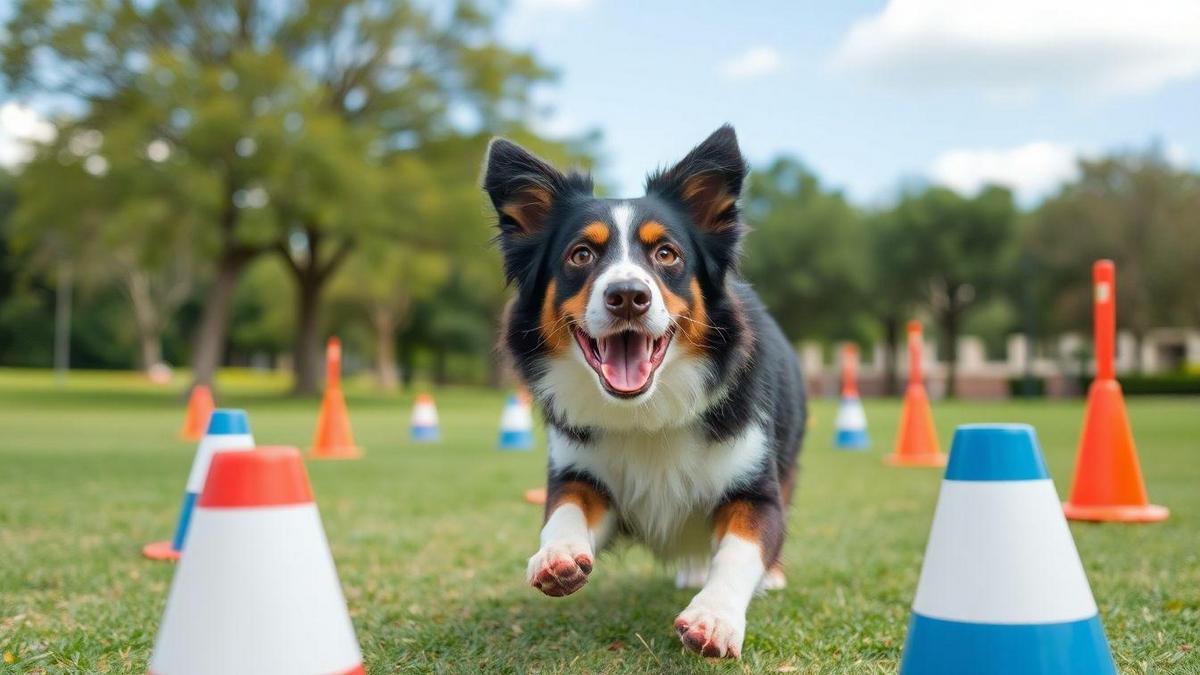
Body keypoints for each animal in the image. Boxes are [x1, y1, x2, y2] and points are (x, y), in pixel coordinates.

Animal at [480, 123, 806, 653]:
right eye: (581, 254)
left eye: (666, 254)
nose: (628, 296)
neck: (647, 408)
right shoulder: (580, 469)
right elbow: (564, 509)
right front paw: (558, 555)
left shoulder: (754, 484)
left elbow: (740, 550)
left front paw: (714, 617)